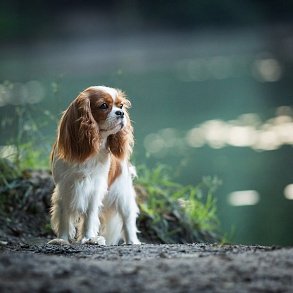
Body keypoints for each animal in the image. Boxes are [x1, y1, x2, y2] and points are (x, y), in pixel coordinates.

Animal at [48, 86, 140, 244]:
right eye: (103, 106)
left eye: (121, 106)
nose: (121, 113)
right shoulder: (65, 186)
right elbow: (64, 215)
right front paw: (62, 239)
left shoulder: (94, 188)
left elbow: (90, 215)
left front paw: (88, 238)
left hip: (123, 193)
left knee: (128, 219)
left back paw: (132, 242)